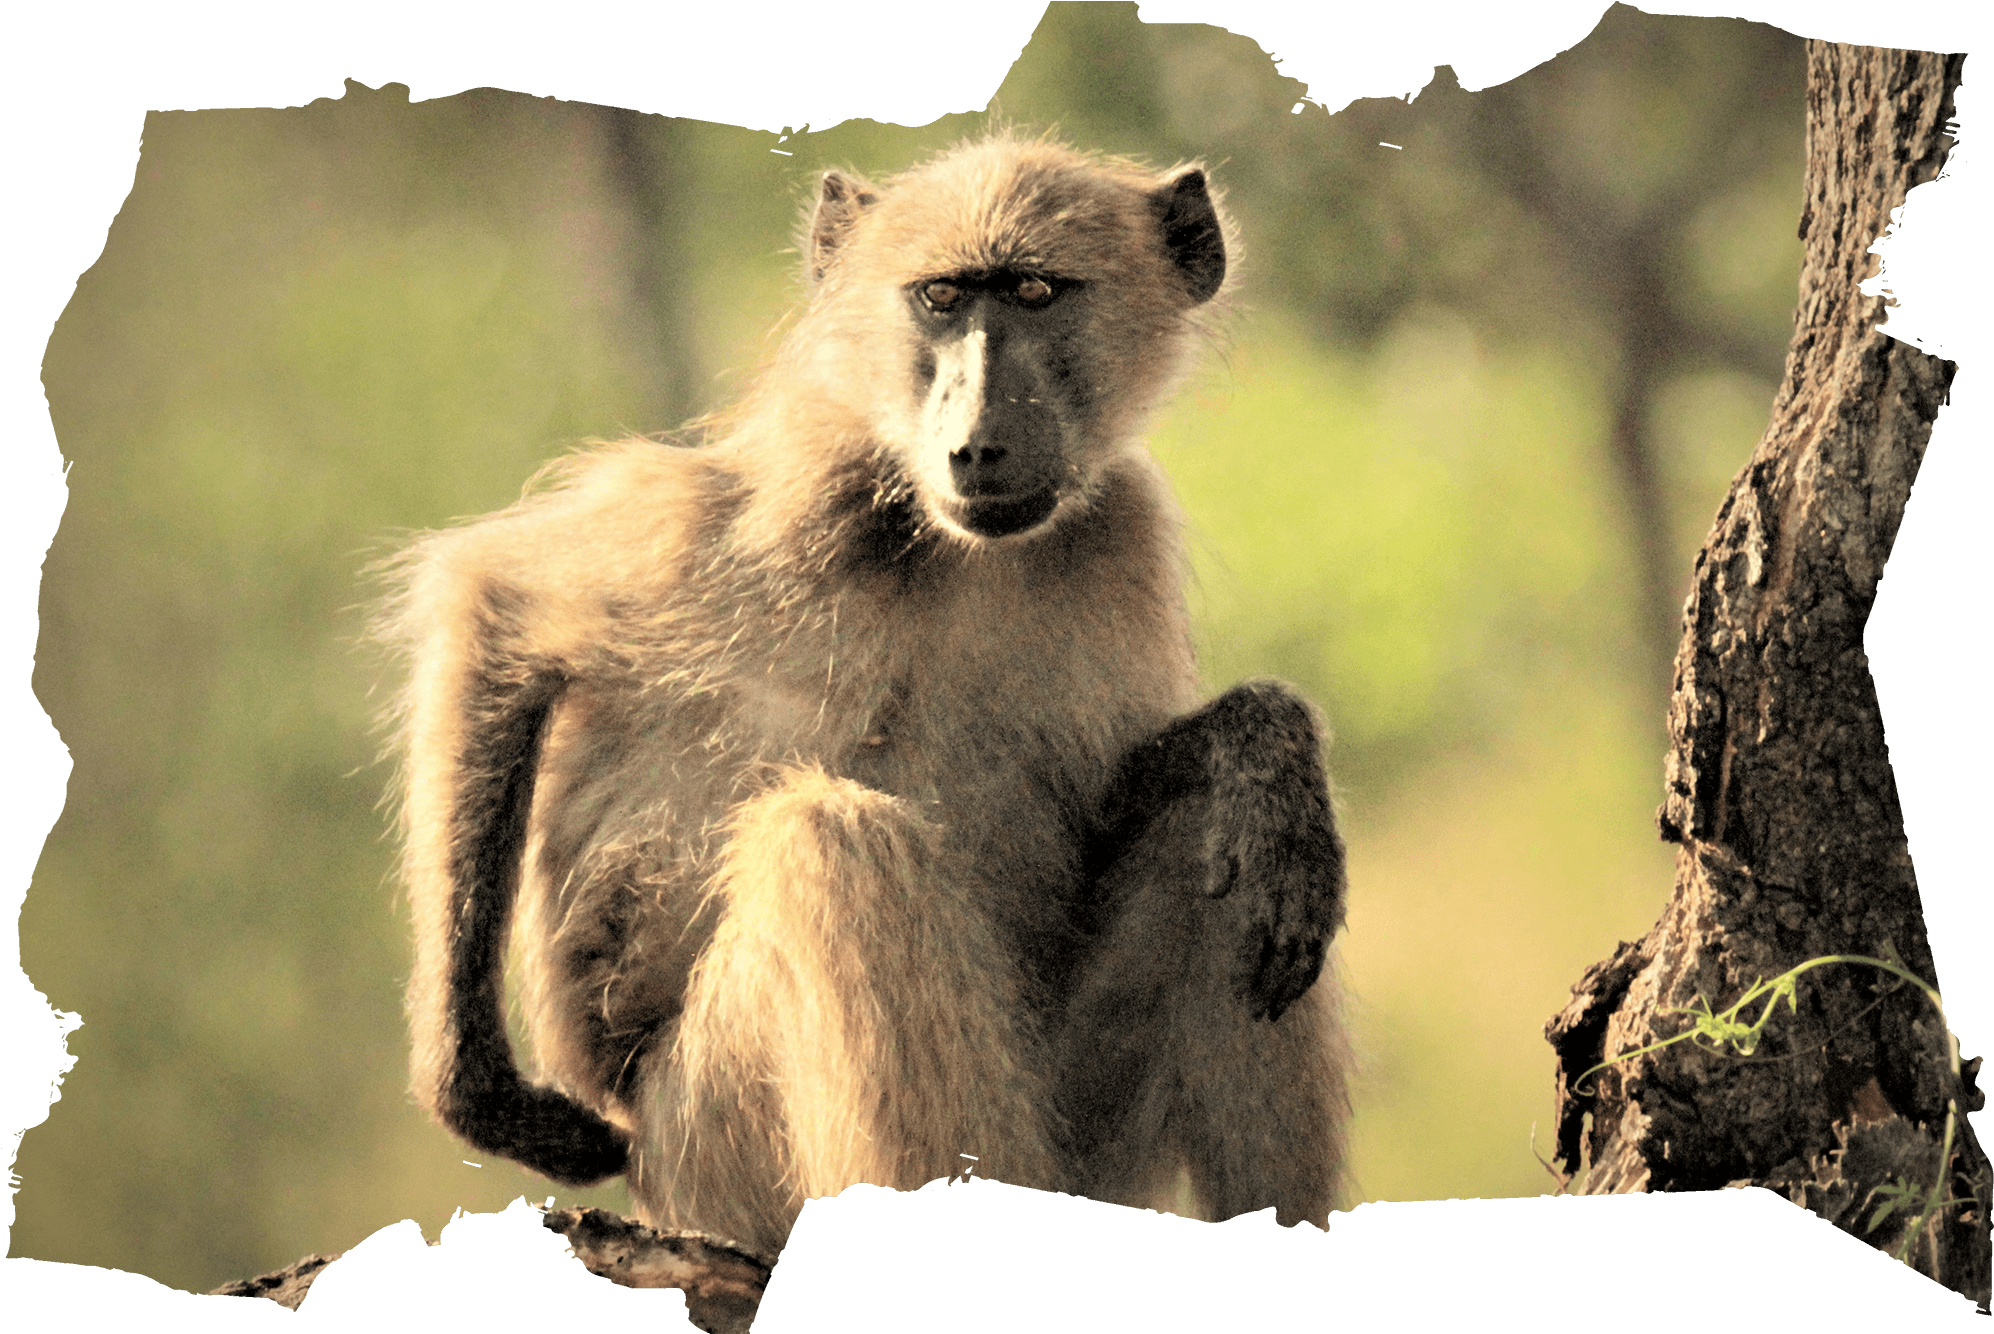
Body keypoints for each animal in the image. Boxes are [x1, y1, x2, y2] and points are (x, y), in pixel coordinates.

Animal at [377, 131, 1349, 1261]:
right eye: (940, 298)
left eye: (1034, 292)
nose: (976, 444)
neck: (946, 545)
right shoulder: (778, 491)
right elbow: (497, 605)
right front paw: (475, 1091)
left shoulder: (1125, 531)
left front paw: (1270, 748)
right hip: (717, 1159)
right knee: (831, 843)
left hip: (1073, 1145)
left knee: (1223, 836)